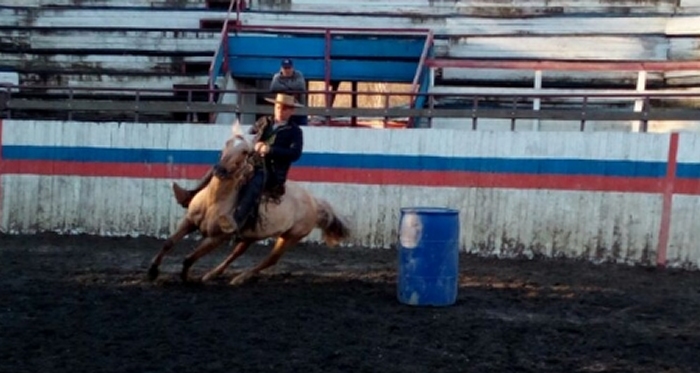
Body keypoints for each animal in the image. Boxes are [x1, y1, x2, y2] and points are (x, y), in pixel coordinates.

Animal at [147, 122, 350, 284]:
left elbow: (190, 258)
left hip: (290, 237)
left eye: (245, 151)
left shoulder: (217, 237)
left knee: (270, 260)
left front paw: (185, 277)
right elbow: (168, 243)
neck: (214, 200)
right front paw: (152, 271)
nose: (220, 169)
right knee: (236, 253)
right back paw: (211, 275)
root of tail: (315, 203)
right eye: (227, 143)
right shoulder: (189, 221)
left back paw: (240, 278)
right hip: (252, 235)